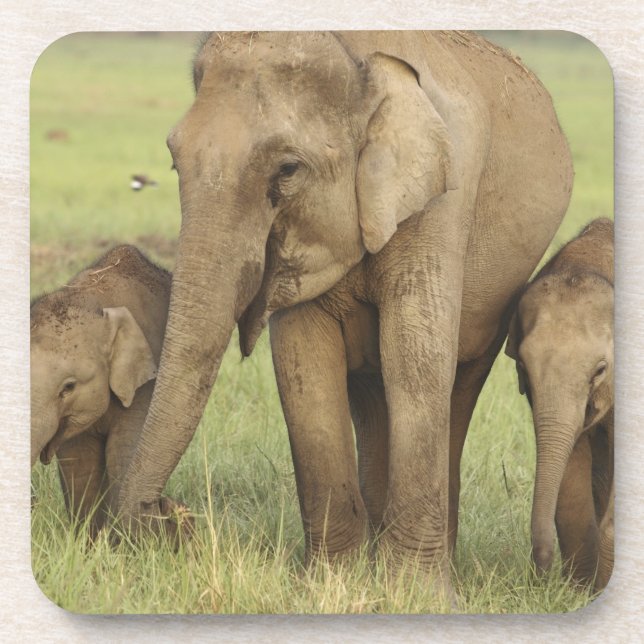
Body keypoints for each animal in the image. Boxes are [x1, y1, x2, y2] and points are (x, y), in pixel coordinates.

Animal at [31, 245, 190, 538]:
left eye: (68, 387)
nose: (169, 507)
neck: (93, 300)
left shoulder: (144, 387)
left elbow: (124, 451)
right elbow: (79, 465)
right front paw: (88, 543)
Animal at [114, 31, 573, 588]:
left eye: (288, 169)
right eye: (174, 162)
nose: (171, 514)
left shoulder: (443, 198)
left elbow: (415, 361)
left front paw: (415, 594)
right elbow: (304, 367)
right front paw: (330, 584)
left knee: (457, 383)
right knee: (371, 396)